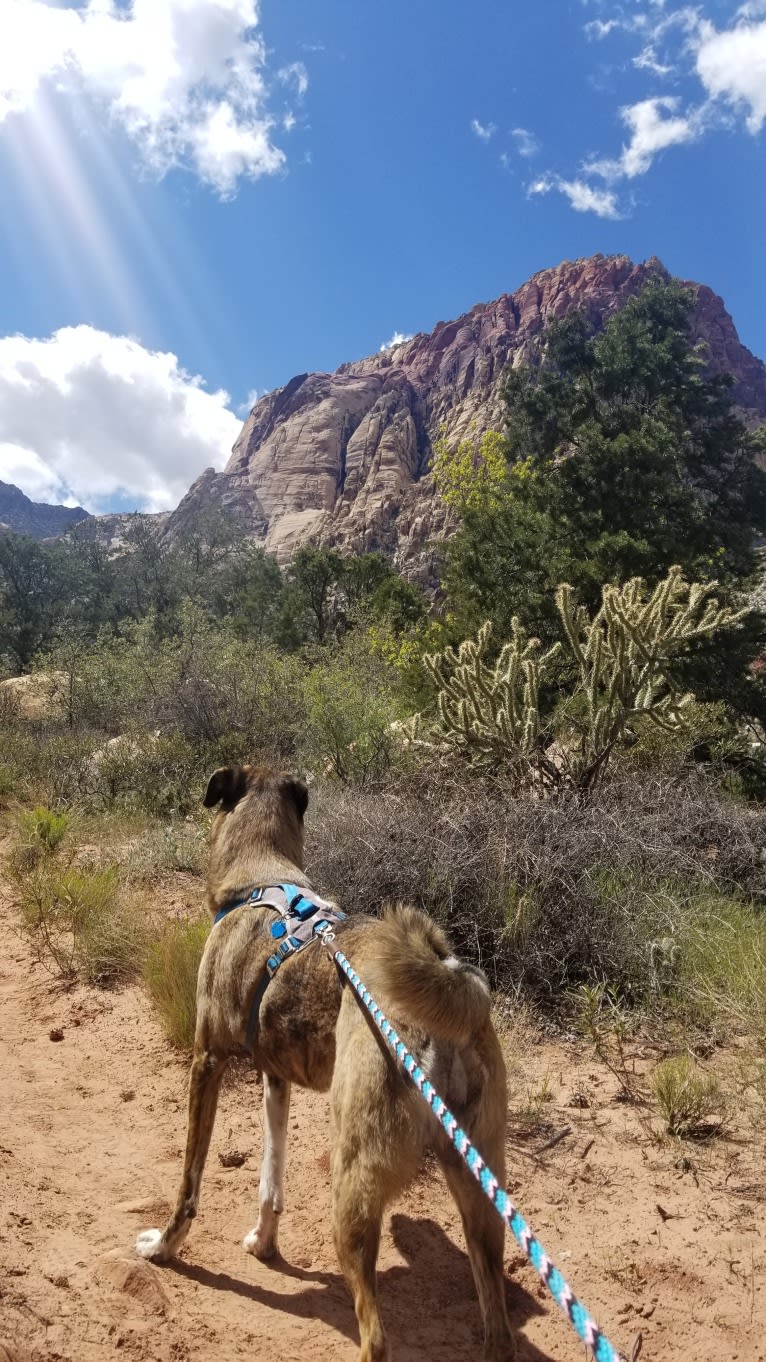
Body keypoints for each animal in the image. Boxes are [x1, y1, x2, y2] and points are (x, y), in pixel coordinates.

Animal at [136, 768, 512, 1362]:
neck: (262, 876)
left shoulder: (206, 1061)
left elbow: (189, 1184)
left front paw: (164, 1247)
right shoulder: (276, 1079)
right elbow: (271, 1180)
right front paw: (265, 1244)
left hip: (353, 1192)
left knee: (375, 1337)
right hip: (479, 1189)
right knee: (497, 1327)